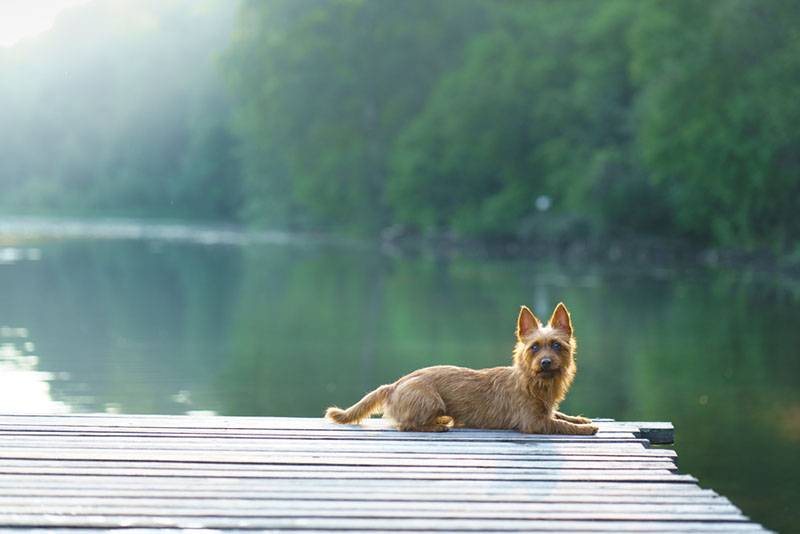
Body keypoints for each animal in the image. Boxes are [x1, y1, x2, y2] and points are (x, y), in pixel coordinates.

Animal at [324, 306, 592, 436]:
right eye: (534, 347)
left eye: (556, 345)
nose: (545, 362)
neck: (533, 381)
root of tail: (394, 385)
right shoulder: (534, 422)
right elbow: (559, 425)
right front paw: (585, 428)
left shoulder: (545, 411)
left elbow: (560, 415)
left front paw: (580, 418)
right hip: (430, 398)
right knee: (406, 425)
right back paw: (437, 426)